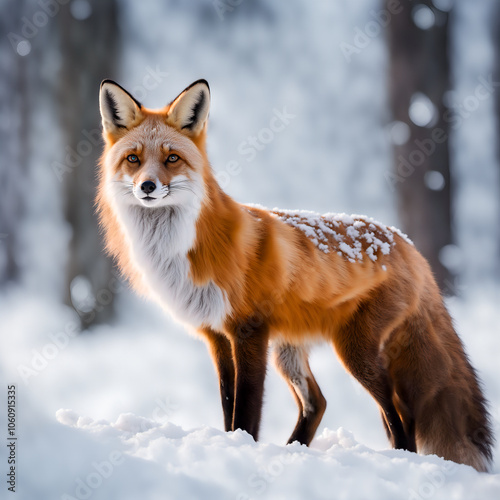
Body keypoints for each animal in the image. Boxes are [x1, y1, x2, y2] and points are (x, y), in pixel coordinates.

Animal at [95, 77, 494, 468]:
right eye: (133, 159)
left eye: (172, 158)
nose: (147, 186)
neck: (184, 248)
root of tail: (408, 244)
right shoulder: (217, 335)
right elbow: (228, 404)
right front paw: (232, 444)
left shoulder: (249, 331)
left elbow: (247, 408)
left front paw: (244, 449)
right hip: (291, 351)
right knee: (319, 403)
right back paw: (293, 451)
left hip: (356, 352)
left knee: (400, 411)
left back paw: (400, 458)